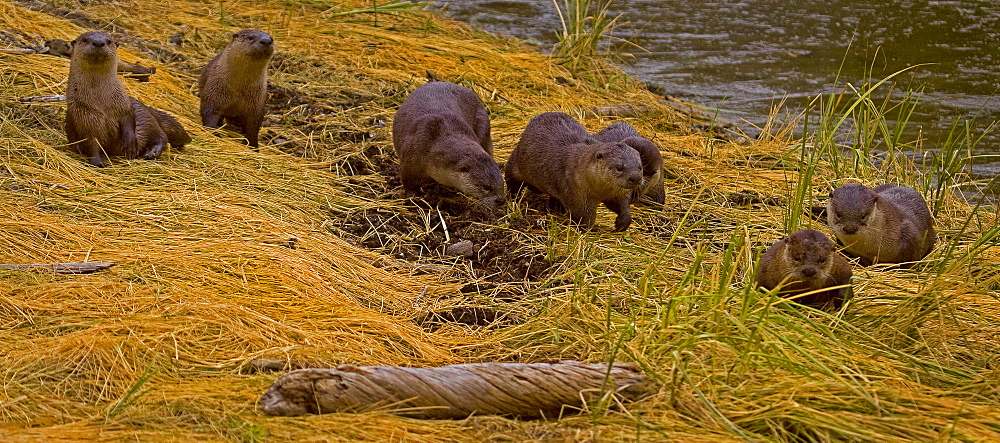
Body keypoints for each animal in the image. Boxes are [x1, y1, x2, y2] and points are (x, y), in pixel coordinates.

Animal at [64, 30, 189, 166]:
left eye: (109, 41)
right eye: (85, 40)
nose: (98, 42)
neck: (101, 101)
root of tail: (146, 107)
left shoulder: (123, 103)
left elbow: (129, 121)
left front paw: (130, 145)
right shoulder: (83, 116)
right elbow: (90, 144)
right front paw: (98, 162)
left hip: (148, 120)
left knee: (162, 136)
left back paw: (152, 152)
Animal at [504, 112, 644, 232]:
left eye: (640, 166)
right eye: (619, 167)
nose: (635, 178)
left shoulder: (616, 193)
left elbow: (622, 204)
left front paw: (623, 222)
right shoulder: (576, 192)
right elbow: (582, 215)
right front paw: (589, 230)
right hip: (515, 164)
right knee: (512, 182)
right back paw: (514, 199)